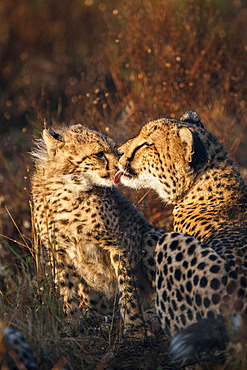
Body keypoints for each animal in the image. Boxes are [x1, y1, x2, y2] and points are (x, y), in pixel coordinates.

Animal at [30, 124, 161, 336]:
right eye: (99, 154)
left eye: (116, 150)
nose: (120, 168)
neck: (68, 189)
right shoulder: (58, 252)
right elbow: (67, 291)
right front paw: (71, 326)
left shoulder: (118, 243)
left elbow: (128, 289)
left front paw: (135, 327)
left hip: (151, 237)